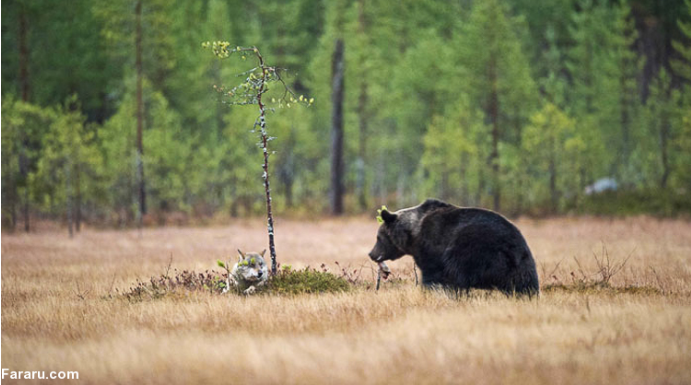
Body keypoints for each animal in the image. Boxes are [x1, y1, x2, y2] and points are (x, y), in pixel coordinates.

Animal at [368, 198, 540, 294]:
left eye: (378, 237)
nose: (371, 253)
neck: (413, 234)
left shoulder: (431, 246)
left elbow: (432, 275)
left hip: (472, 249)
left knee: (458, 271)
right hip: (523, 264)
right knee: (525, 284)